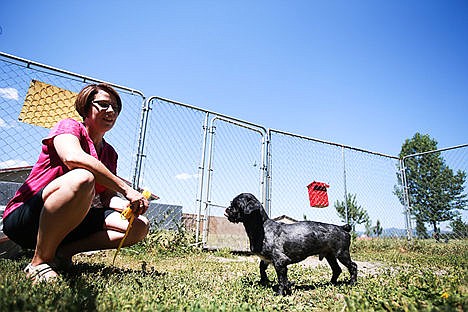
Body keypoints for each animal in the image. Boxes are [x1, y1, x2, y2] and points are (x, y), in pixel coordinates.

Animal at [225, 193, 356, 294]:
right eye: (231, 203)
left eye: (237, 205)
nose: (227, 209)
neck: (263, 228)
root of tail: (342, 227)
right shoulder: (266, 260)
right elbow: (262, 269)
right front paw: (264, 282)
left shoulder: (280, 261)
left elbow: (281, 280)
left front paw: (280, 293)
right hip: (330, 256)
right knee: (337, 270)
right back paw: (331, 283)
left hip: (341, 253)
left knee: (353, 266)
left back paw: (352, 283)